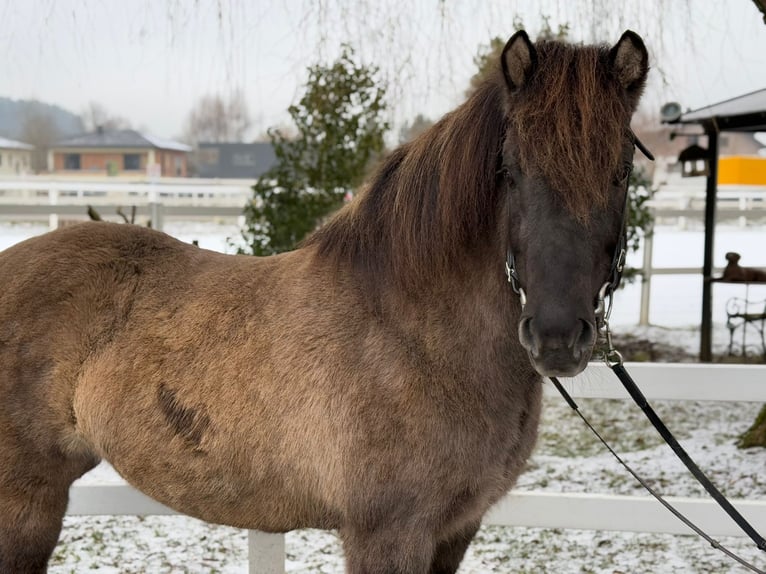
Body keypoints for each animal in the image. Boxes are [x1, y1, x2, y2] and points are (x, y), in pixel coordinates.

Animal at [0, 30, 648, 574]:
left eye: (621, 173)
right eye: (511, 170)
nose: (557, 338)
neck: (416, 337)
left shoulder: (455, 531)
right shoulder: (388, 536)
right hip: (25, 502)